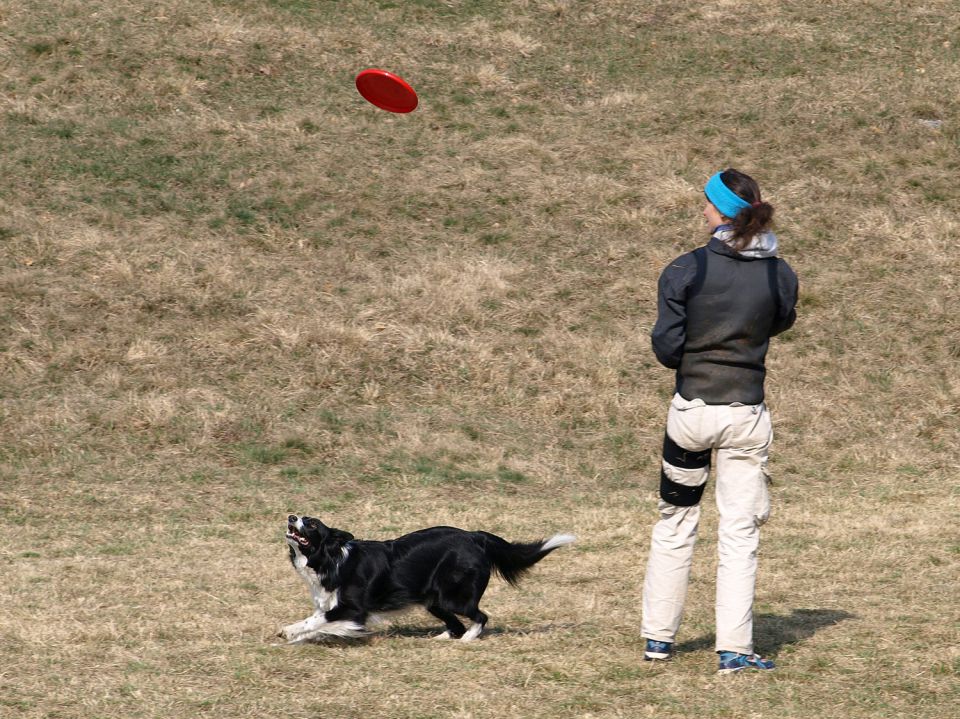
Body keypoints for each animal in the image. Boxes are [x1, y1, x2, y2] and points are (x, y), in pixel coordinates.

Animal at [282, 516, 572, 644]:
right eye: (301, 517)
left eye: (311, 524)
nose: (290, 516)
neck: (331, 560)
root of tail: (475, 536)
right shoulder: (329, 604)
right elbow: (317, 622)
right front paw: (297, 639)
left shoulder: (353, 609)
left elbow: (317, 621)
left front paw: (288, 631)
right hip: (435, 600)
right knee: (456, 623)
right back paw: (442, 638)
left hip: (454, 597)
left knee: (480, 617)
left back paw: (468, 639)